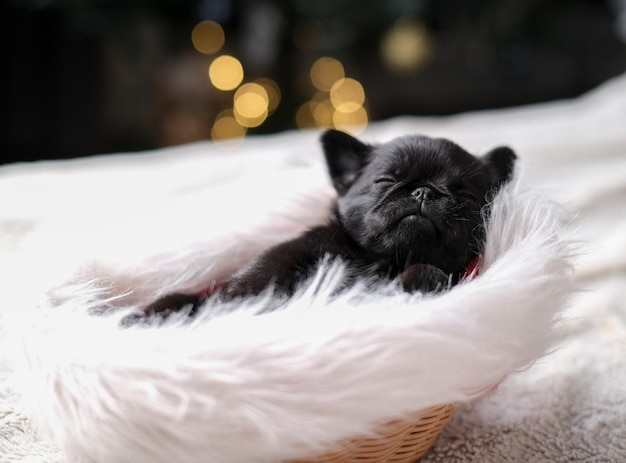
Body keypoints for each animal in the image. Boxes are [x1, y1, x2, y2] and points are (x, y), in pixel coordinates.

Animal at [129, 129, 516, 320]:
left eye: (464, 195)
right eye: (386, 180)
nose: (423, 191)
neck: (382, 258)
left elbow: (428, 273)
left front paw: (421, 280)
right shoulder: (298, 248)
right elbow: (264, 269)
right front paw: (237, 301)